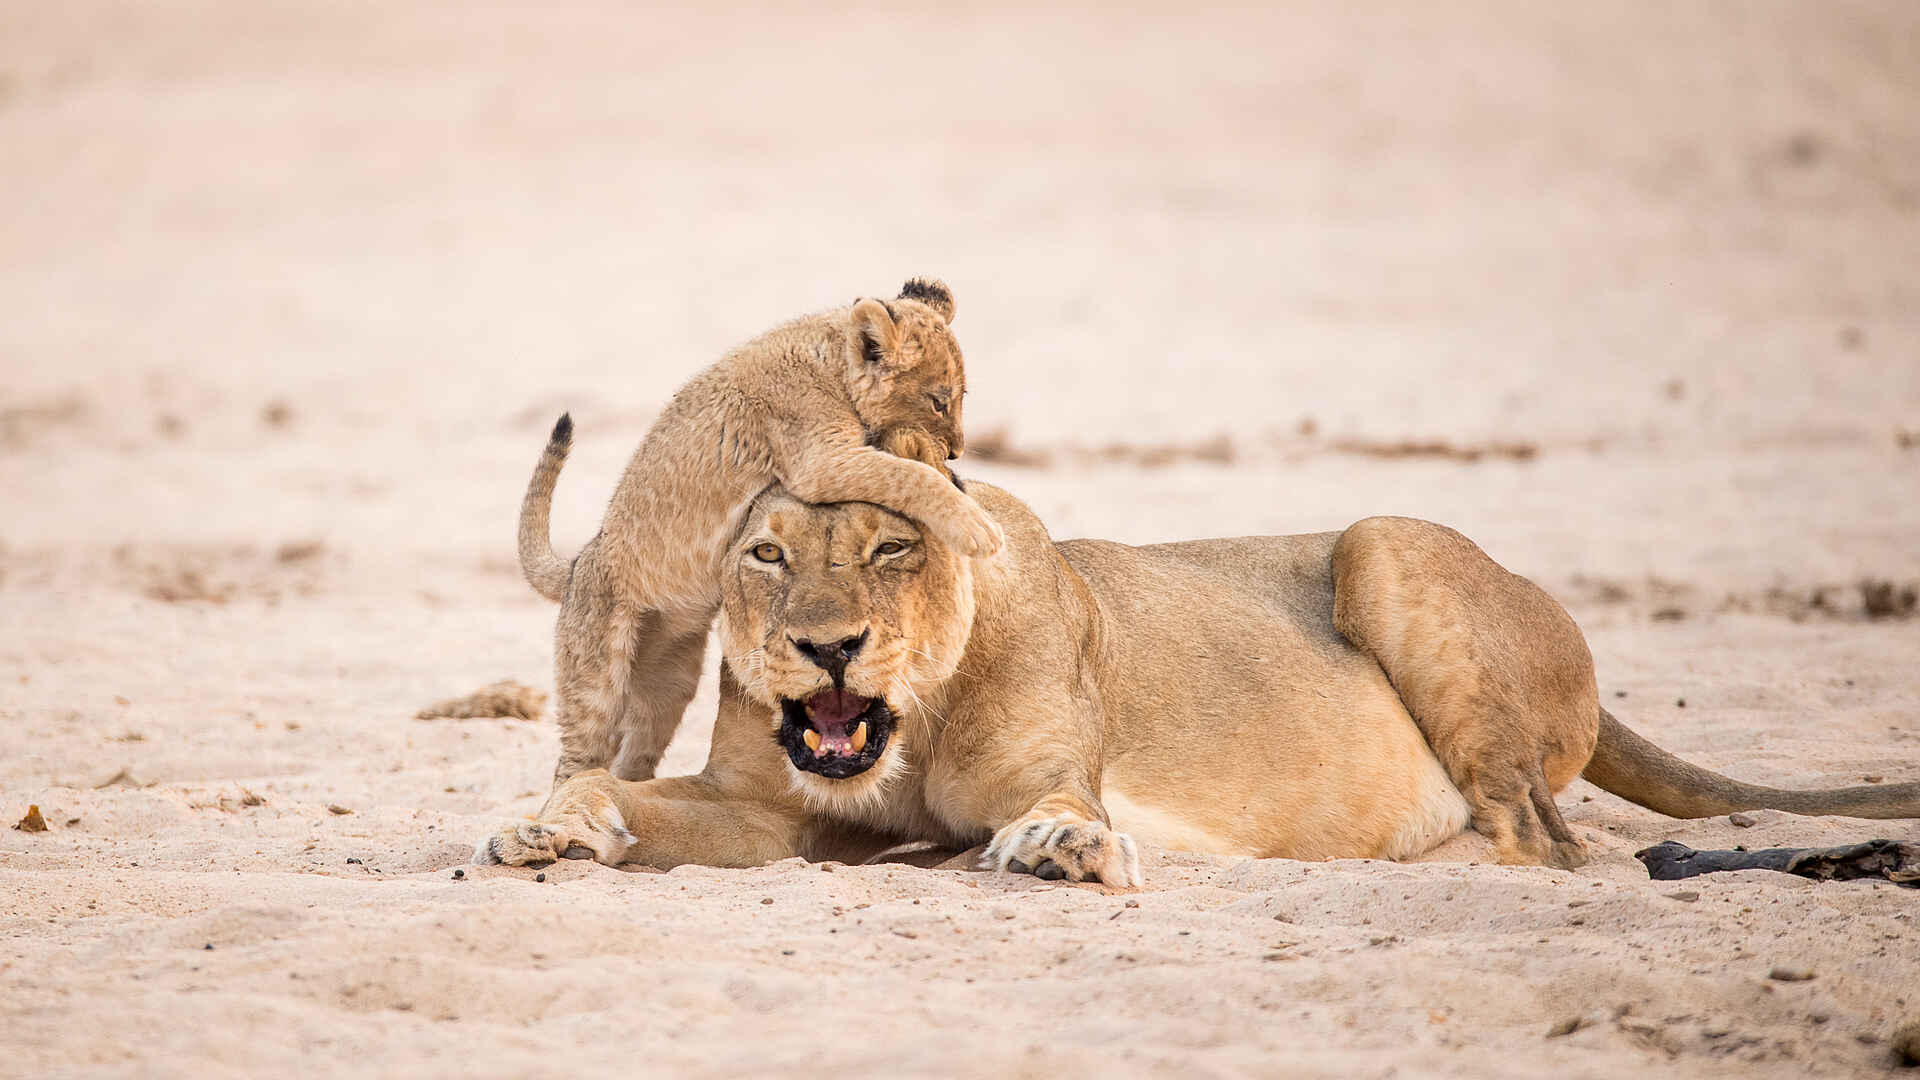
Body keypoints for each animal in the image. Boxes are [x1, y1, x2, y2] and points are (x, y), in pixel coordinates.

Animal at [478, 482, 1920, 884]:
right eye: (769, 554)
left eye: (891, 547)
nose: (828, 648)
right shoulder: (773, 814)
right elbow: (629, 795)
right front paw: (547, 827)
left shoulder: (1051, 760)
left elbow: (1058, 807)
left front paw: (1060, 849)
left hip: (1383, 543)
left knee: (1539, 837)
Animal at [517, 278, 1002, 788]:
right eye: (939, 400)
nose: (957, 450)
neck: (831, 357)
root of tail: (578, 563)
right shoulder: (821, 462)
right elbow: (907, 475)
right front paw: (978, 527)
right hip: (595, 674)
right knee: (577, 756)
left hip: (669, 674)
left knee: (639, 745)